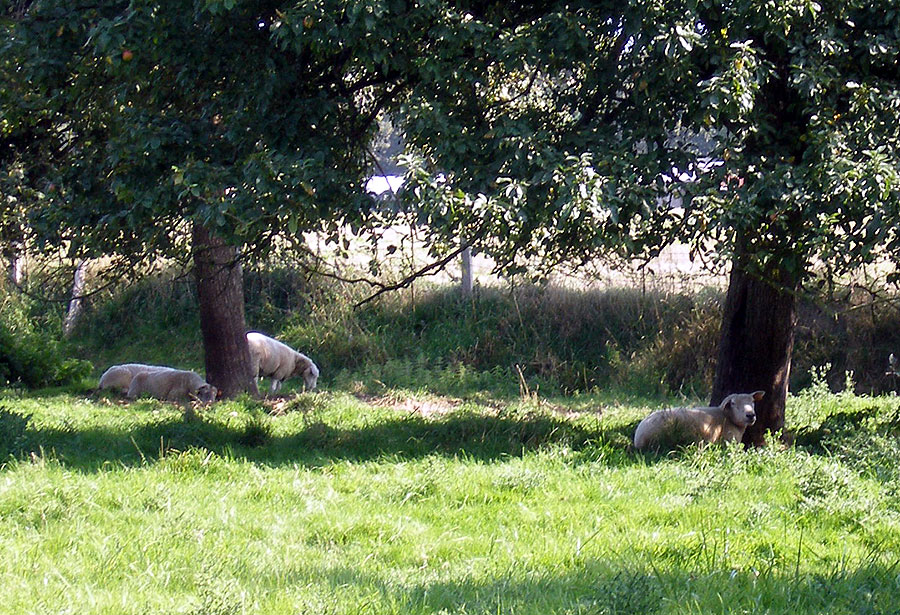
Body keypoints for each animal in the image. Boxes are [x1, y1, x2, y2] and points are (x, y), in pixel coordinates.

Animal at [633, 391, 765, 450]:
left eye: (753, 402)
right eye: (733, 403)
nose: (750, 415)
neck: (728, 418)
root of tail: (637, 438)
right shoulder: (728, 441)